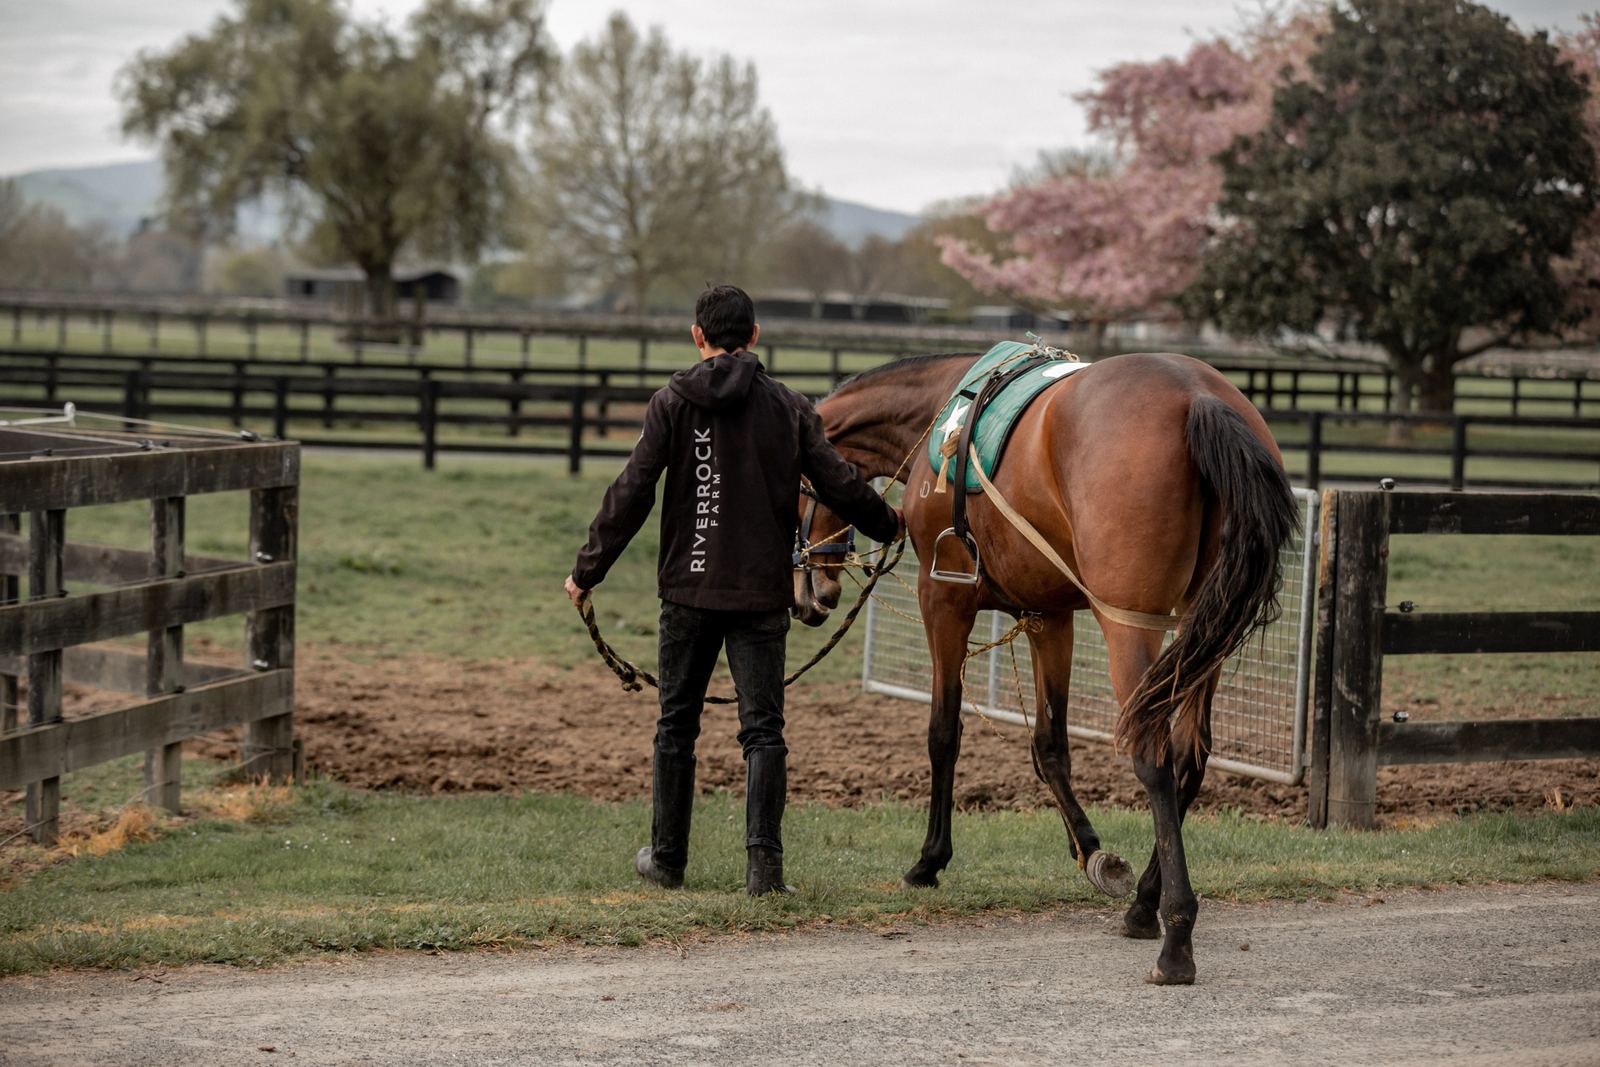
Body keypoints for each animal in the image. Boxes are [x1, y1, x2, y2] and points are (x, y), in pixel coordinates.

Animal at [792, 350, 1297, 985]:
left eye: (794, 488)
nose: (812, 595)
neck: (938, 415)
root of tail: (1197, 395)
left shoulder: (944, 602)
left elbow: (943, 735)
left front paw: (929, 860)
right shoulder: (1048, 616)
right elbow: (1050, 745)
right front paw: (1090, 850)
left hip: (1131, 627)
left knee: (1153, 756)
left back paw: (1175, 934)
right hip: (1203, 632)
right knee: (1190, 755)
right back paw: (1145, 901)